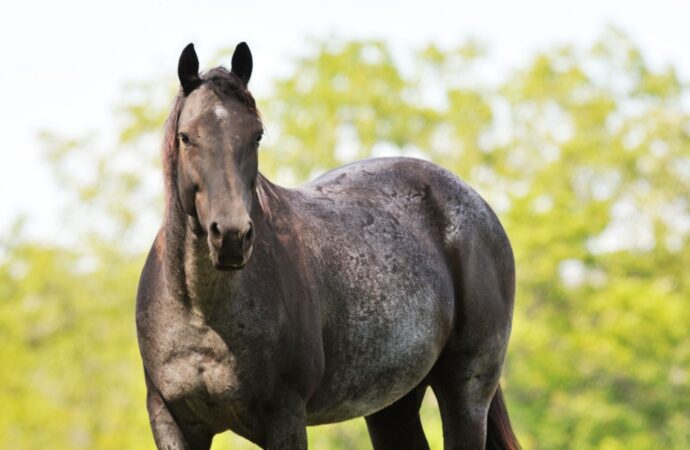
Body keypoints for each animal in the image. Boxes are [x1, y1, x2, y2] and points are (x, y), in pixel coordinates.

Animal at [137, 42, 520, 450]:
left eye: (256, 135)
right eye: (186, 137)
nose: (231, 237)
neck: (202, 313)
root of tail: (478, 204)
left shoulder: (285, 417)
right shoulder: (171, 421)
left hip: (465, 392)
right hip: (392, 404)